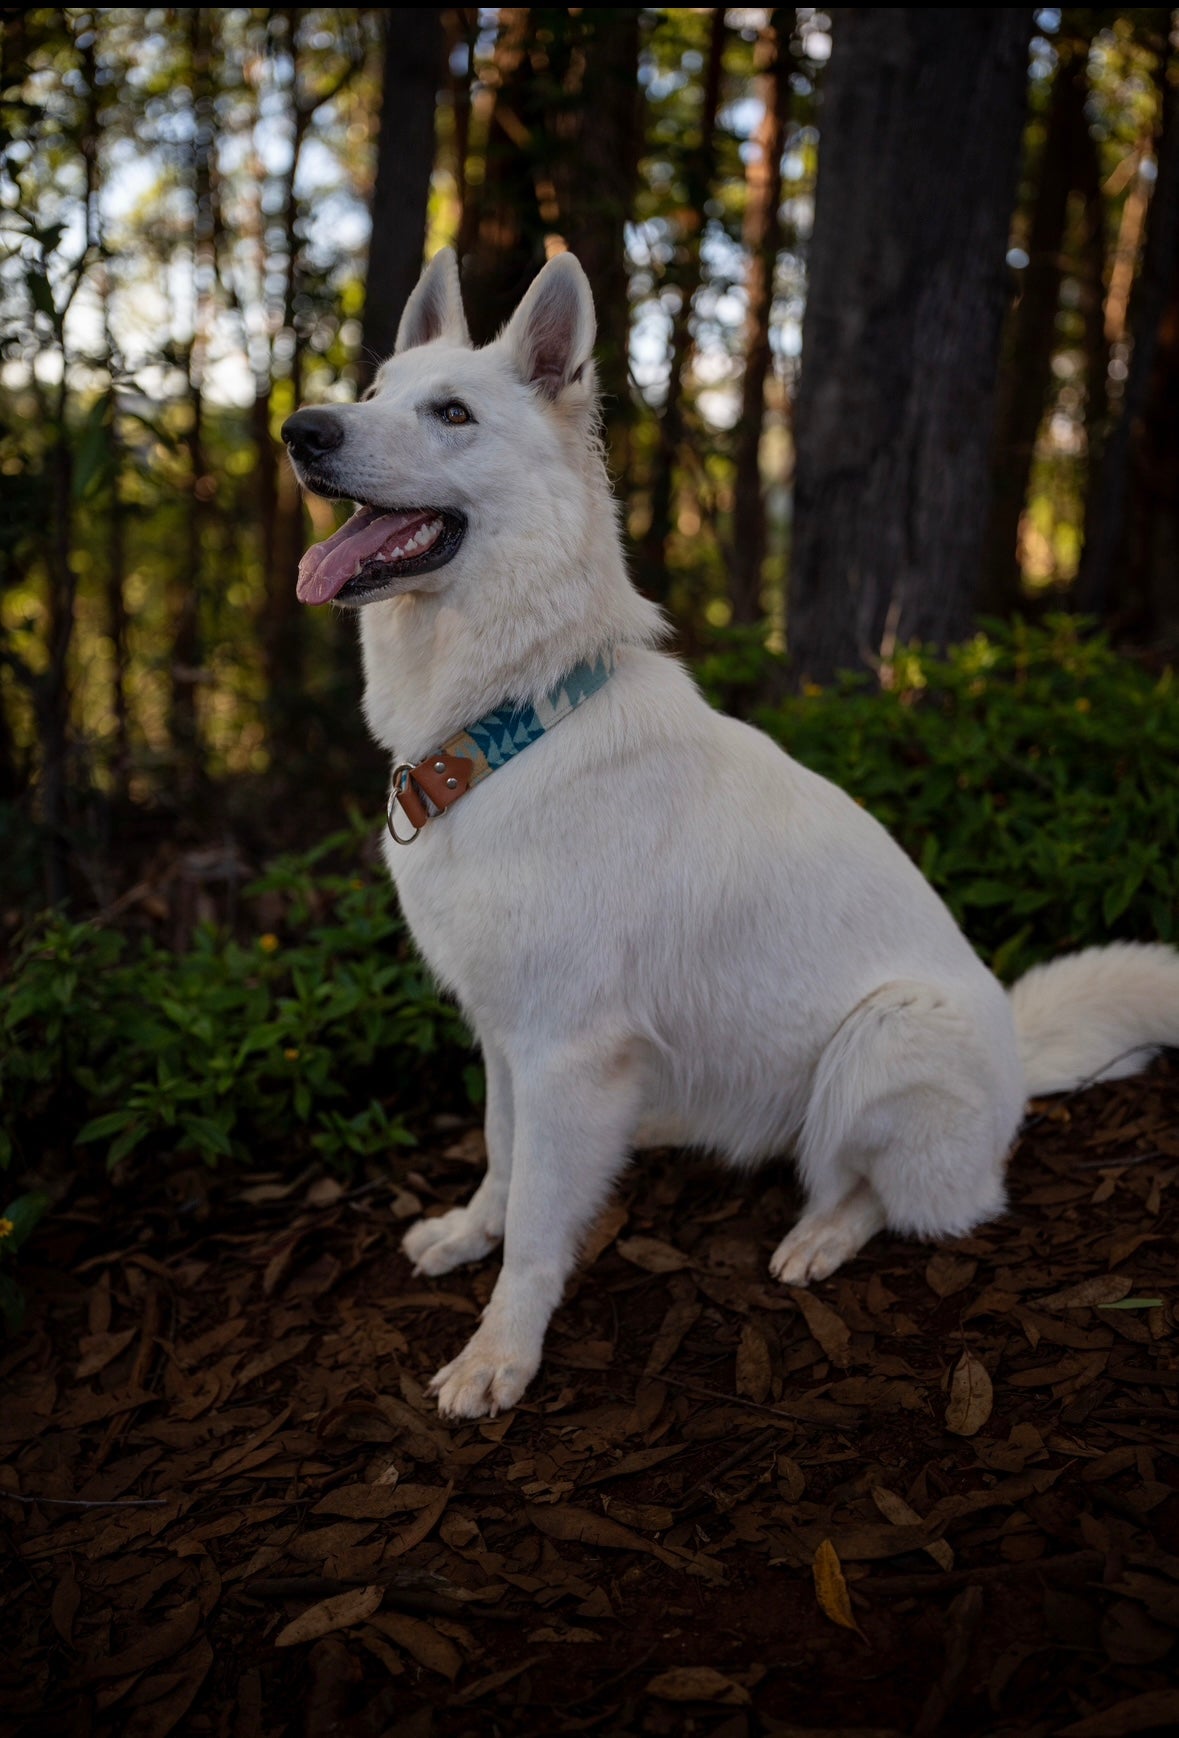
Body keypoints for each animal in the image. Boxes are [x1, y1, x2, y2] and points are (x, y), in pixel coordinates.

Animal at [283, 252, 1179, 1418]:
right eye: (374, 390)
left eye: (451, 413)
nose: (301, 430)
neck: (516, 722)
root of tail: (1021, 1065)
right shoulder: (510, 1039)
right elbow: (504, 1160)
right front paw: (468, 1235)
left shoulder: (563, 1044)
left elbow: (537, 1224)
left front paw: (501, 1352)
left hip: (882, 1037)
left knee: (897, 1194)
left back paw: (821, 1235)